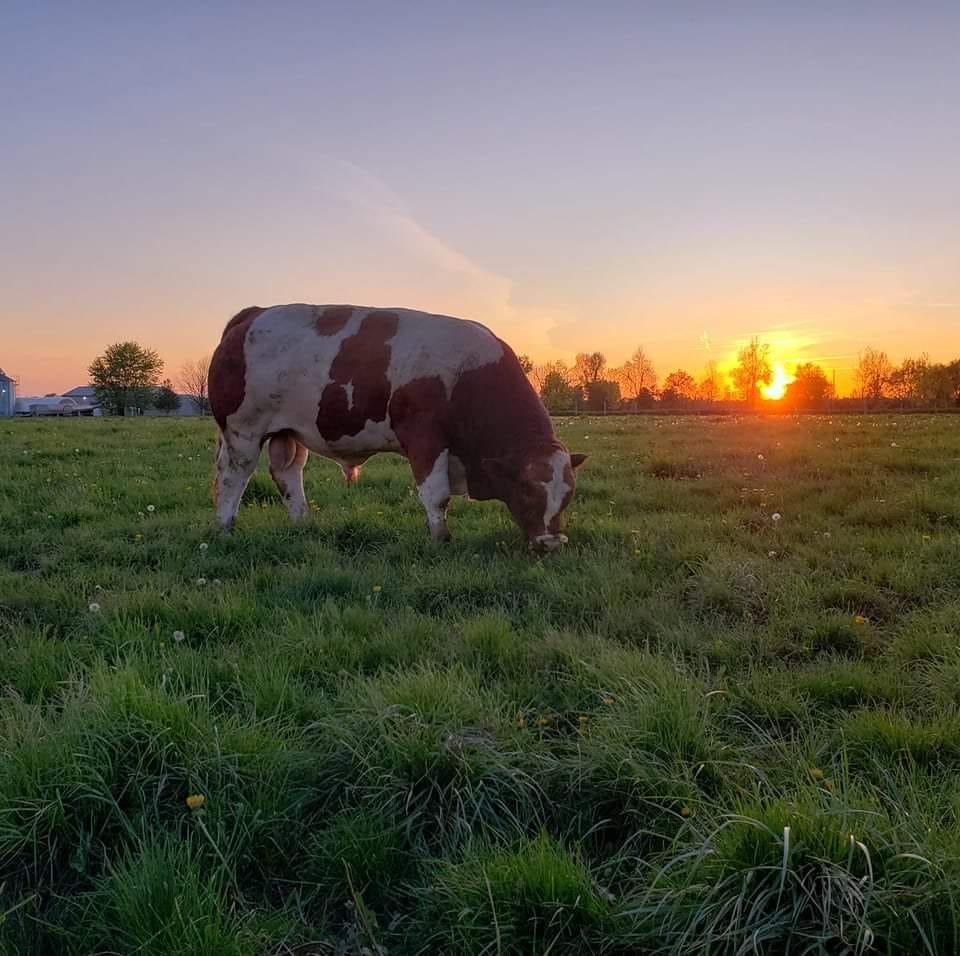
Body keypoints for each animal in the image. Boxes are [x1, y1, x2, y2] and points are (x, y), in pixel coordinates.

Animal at [207, 304, 586, 551]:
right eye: (527, 490)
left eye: (568, 495)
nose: (551, 543)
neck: (468, 375)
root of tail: (253, 314)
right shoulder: (425, 439)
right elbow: (437, 494)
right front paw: (440, 539)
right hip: (243, 430)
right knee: (234, 476)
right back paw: (225, 526)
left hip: (289, 433)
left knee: (288, 475)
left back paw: (303, 522)